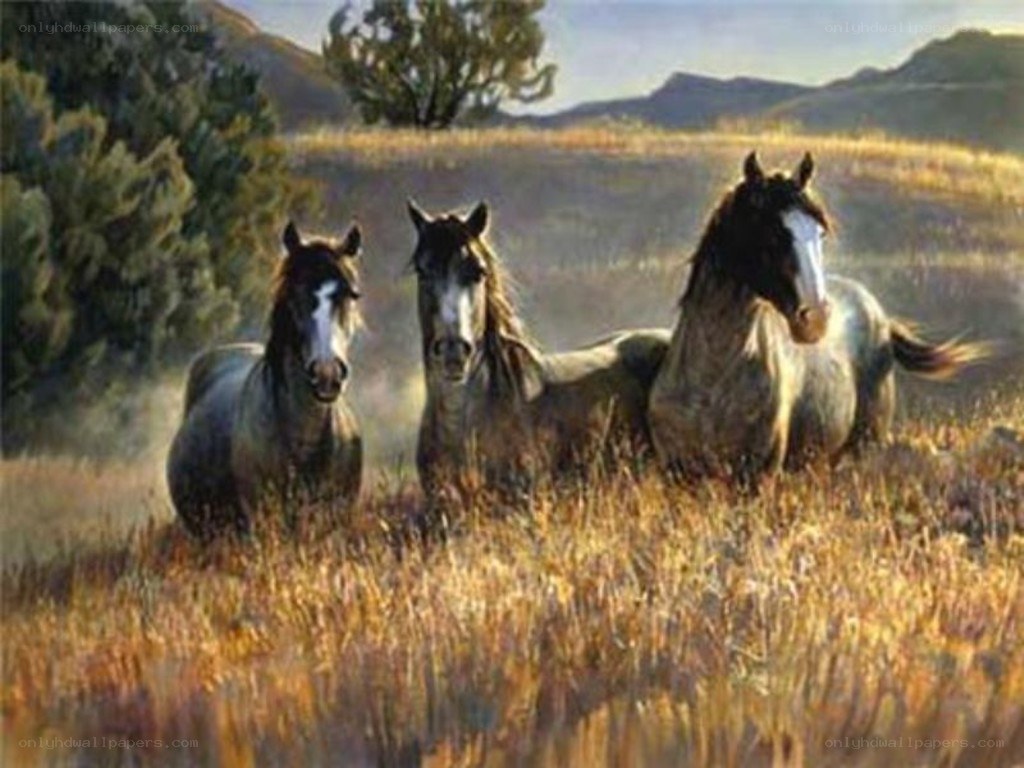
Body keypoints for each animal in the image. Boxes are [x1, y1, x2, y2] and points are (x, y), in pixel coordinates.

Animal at [648, 151, 988, 482]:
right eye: (773, 234)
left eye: (821, 233)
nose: (816, 319)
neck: (712, 380)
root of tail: (877, 312)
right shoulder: (677, 474)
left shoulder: (758, 476)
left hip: (862, 450)